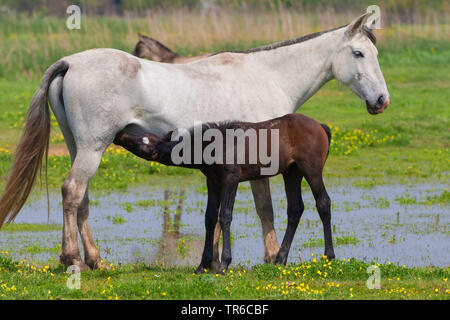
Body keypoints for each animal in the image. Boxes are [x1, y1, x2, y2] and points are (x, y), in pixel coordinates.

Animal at [115, 114, 334, 274]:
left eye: (142, 143)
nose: (120, 134)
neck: (215, 145)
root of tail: (321, 126)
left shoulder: (231, 179)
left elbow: (225, 216)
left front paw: (223, 264)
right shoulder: (213, 181)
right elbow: (210, 218)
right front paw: (202, 265)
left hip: (311, 170)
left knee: (323, 202)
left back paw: (329, 256)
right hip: (292, 172)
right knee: (295, 209)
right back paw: (280, 259)